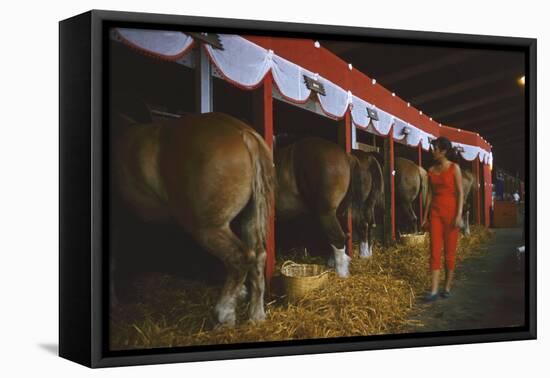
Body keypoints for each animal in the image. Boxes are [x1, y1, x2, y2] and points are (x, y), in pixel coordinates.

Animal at [111, 110, 276, 326]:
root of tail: (243, 133)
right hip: (249, 219)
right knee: (258, 256)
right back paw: (256, 315)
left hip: (208, 228)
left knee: (239, 258)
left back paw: (224, 314)